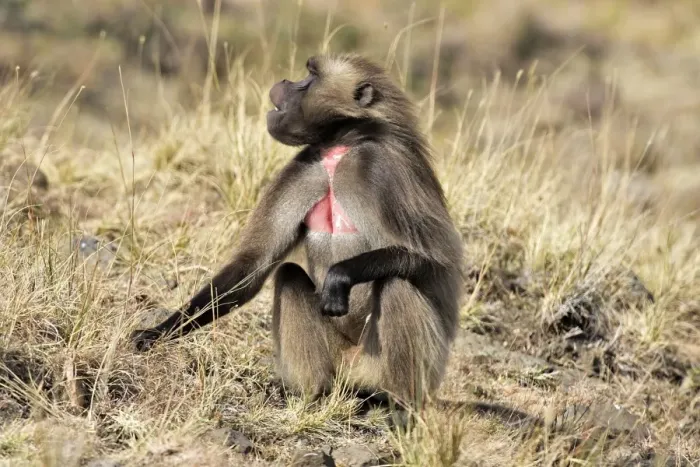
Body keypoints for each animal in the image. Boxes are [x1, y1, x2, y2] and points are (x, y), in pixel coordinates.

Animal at [130, 53, 464, 408]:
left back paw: (399, 405)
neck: (339, 149)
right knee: (289, 275)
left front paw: (340, 276)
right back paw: (309, 395)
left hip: (409, 367)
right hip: (337, 362)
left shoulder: (385, 169)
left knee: (396, 283)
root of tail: (355, 374)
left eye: (310, 76)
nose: (284, 83)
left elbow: (436, 260)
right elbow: (253, 265)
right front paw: (156, 333)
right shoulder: (305, 167)